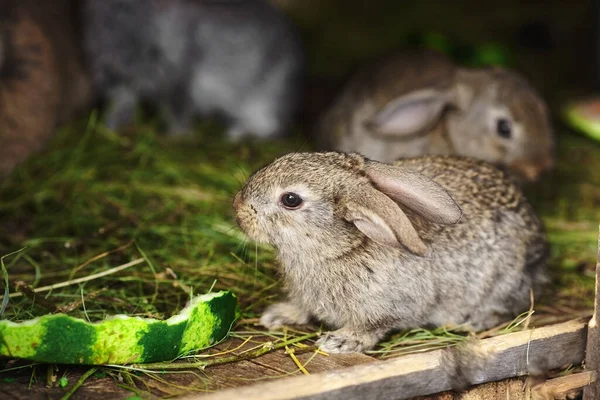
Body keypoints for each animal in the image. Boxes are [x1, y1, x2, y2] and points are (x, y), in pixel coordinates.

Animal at [81, 0, 302, 139]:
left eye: (154, 51)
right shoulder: (122, 85)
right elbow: (121, 107)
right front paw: (107, 128)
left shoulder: (177, 76)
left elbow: (177, 110)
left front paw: (176, 136)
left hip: (263, 99)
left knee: (269, 127)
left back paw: (234, 134)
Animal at [233, 151, 548, 354]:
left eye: (290, 199)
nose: (238, 207)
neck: (342, 248)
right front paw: (278, 315)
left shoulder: (393, 306)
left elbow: (374, 326)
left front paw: (341, 342)